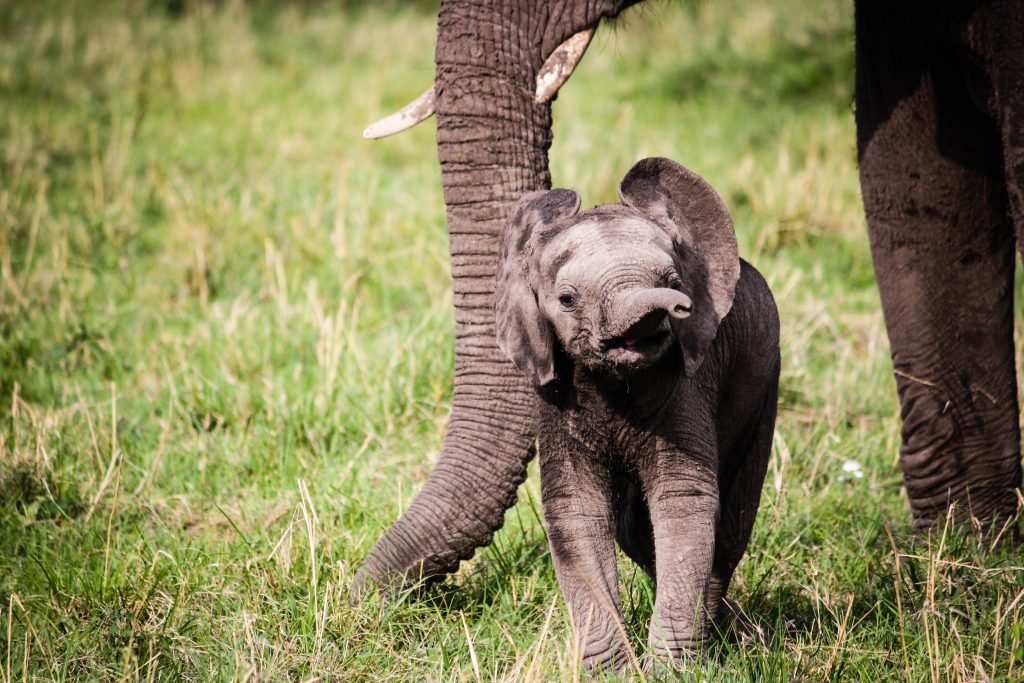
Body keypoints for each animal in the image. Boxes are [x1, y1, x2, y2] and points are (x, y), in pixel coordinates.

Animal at [493, 157, 774, 671]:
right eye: (566, 299)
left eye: (673, 283)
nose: (680, 307)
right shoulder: (554, 400)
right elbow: (576, 509)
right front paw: (616, 671)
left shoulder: (686, 389)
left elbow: (684, 501)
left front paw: (672, 671)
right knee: (634, 528)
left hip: (763, 379)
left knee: (728, 529)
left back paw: (729, 633)